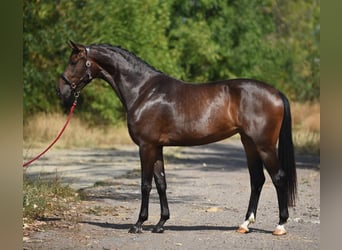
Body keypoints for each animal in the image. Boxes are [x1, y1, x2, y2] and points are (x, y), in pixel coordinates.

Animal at [57, 41, 296, 236]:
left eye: (74, 61)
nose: (61, 90)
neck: (144, 91)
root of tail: (276, 93)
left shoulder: (146, 146)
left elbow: (145, 184)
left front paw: (139, 224)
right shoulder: (157, 147)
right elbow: (161, 182)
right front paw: (160, 223)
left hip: (264, 145)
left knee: (278, 177)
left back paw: (280, 225)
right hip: (249, 143)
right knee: (257, 180)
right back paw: (244, 224)